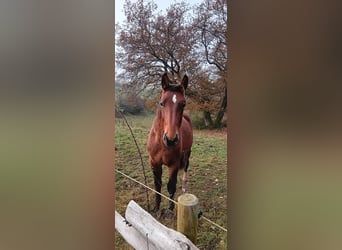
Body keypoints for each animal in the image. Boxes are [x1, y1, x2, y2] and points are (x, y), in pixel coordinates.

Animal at [147, 72, 192, 211]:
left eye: (183, 104)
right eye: (162, 103)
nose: (170, 140)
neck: (162, 145)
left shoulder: (174, 165)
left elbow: (171, 186)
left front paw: (170, 208)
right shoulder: (154, 163)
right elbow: (157, 185)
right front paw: (156, 207)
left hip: (187, 152)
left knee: (186, 166)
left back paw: (184, 187)